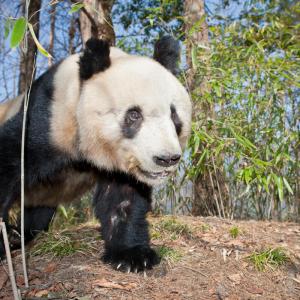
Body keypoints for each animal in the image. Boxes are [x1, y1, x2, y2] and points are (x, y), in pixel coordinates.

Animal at [0, 36, 191, 274]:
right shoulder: (49, 122)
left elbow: (123, 197)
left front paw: (132, 255)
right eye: (134, 115)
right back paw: (14, 237)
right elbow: (8, 162)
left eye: (174, 115)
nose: (166, 159)